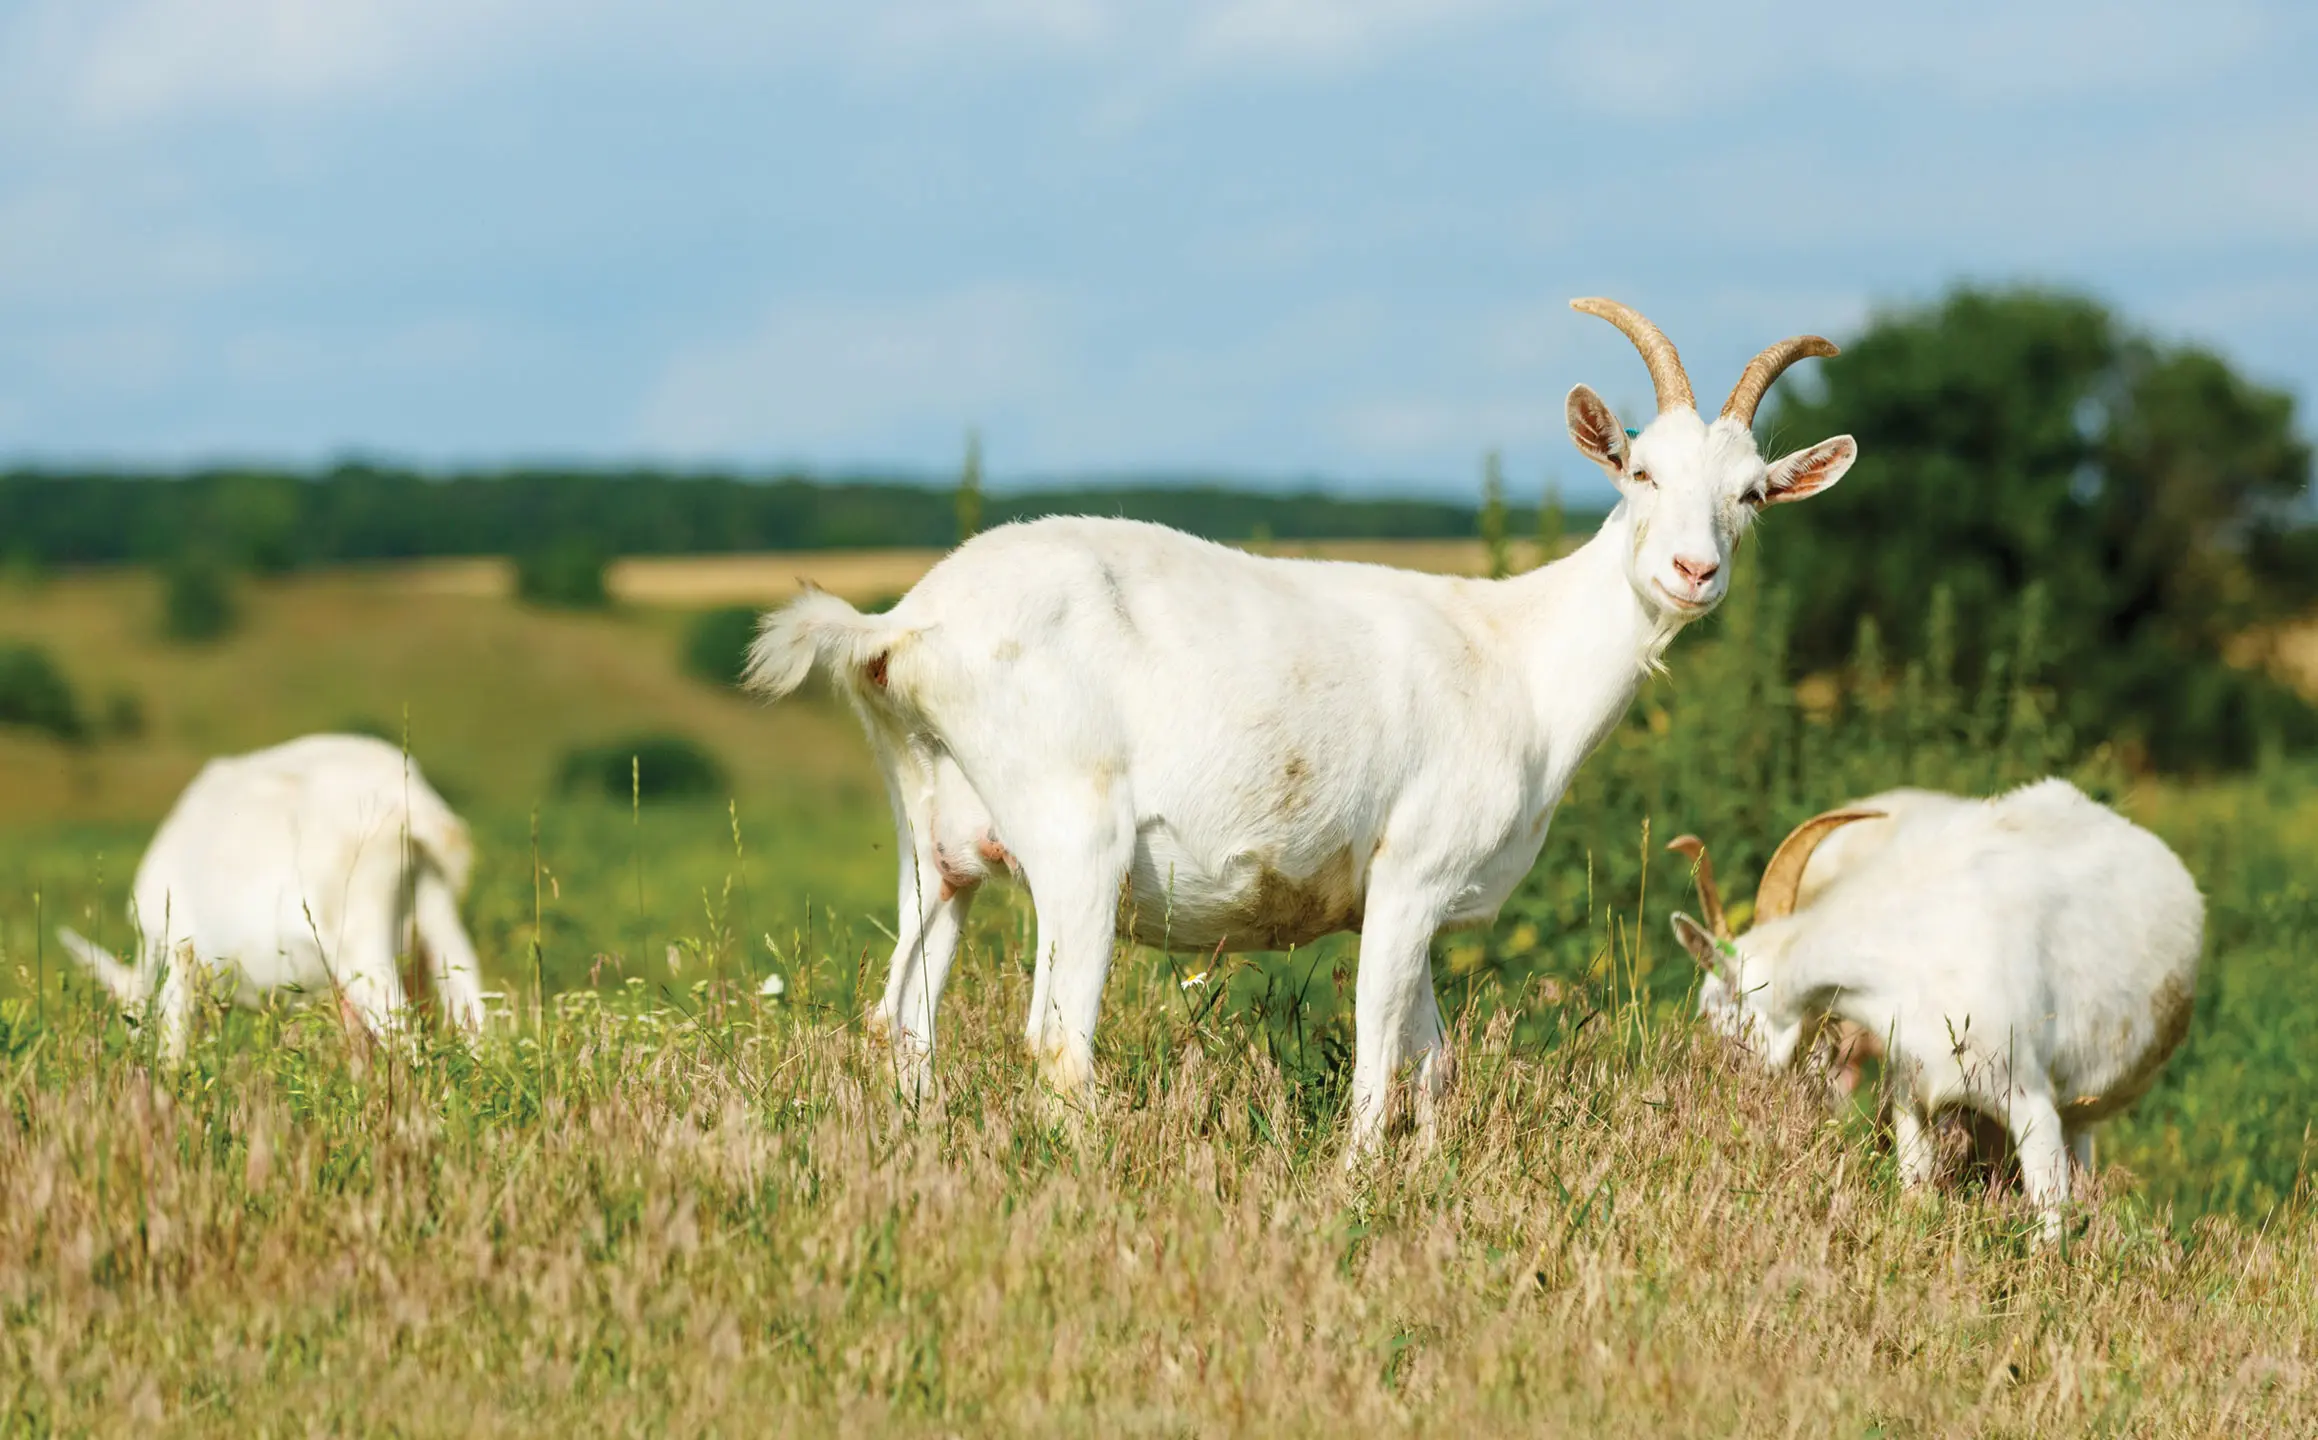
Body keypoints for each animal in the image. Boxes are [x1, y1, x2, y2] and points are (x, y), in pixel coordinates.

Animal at [59, 734, 488, 1059]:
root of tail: (410, 801)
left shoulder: (177, 954)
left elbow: (173, 1046)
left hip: (361, 937)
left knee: (403, 1036)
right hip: (437, 910)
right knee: (472, 1015)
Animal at [748, 298, 1859, 1152]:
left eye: (1751, 494)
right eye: (1638, 472)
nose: (1693, 571)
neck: (1517, 656)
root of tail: (904, 624)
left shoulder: (1405, 901)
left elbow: (1434, 1061)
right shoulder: (1411, 873)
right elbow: (1378, 1057)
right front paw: (1357, 1181)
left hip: (936, 842)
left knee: (902, 1019)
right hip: (1075, 841)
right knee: (1056, 1039)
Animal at [1668, 779, 2203, 1237]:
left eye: (1712, 1006)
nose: (1712, 1083)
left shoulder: (2031, 1103)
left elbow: (2050, 1226)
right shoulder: (1912, 1097)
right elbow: (1914, 1191)